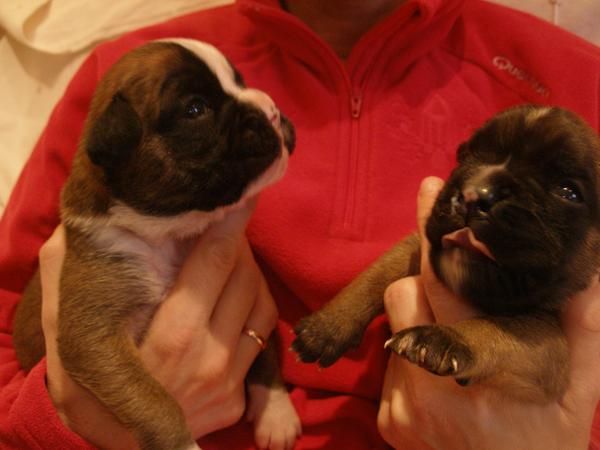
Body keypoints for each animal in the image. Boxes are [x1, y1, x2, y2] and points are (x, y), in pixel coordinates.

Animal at [14, 39, 302, 450]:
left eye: (240, 81)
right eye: (195, 109)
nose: (272, 109)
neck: (170, 232)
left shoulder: (255, 296)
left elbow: (264, 354)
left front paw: (276, 411)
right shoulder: (93, 337)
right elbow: (151, 398)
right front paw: (181, 443)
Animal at [292, 105, 600, 404]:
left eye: (568, 192)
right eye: (466, 157)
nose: (475, 193)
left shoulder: (548, 350)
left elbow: (501, 329)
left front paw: (443, 339)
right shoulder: (417, 246)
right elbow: (378, 272)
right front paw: (327, 326)